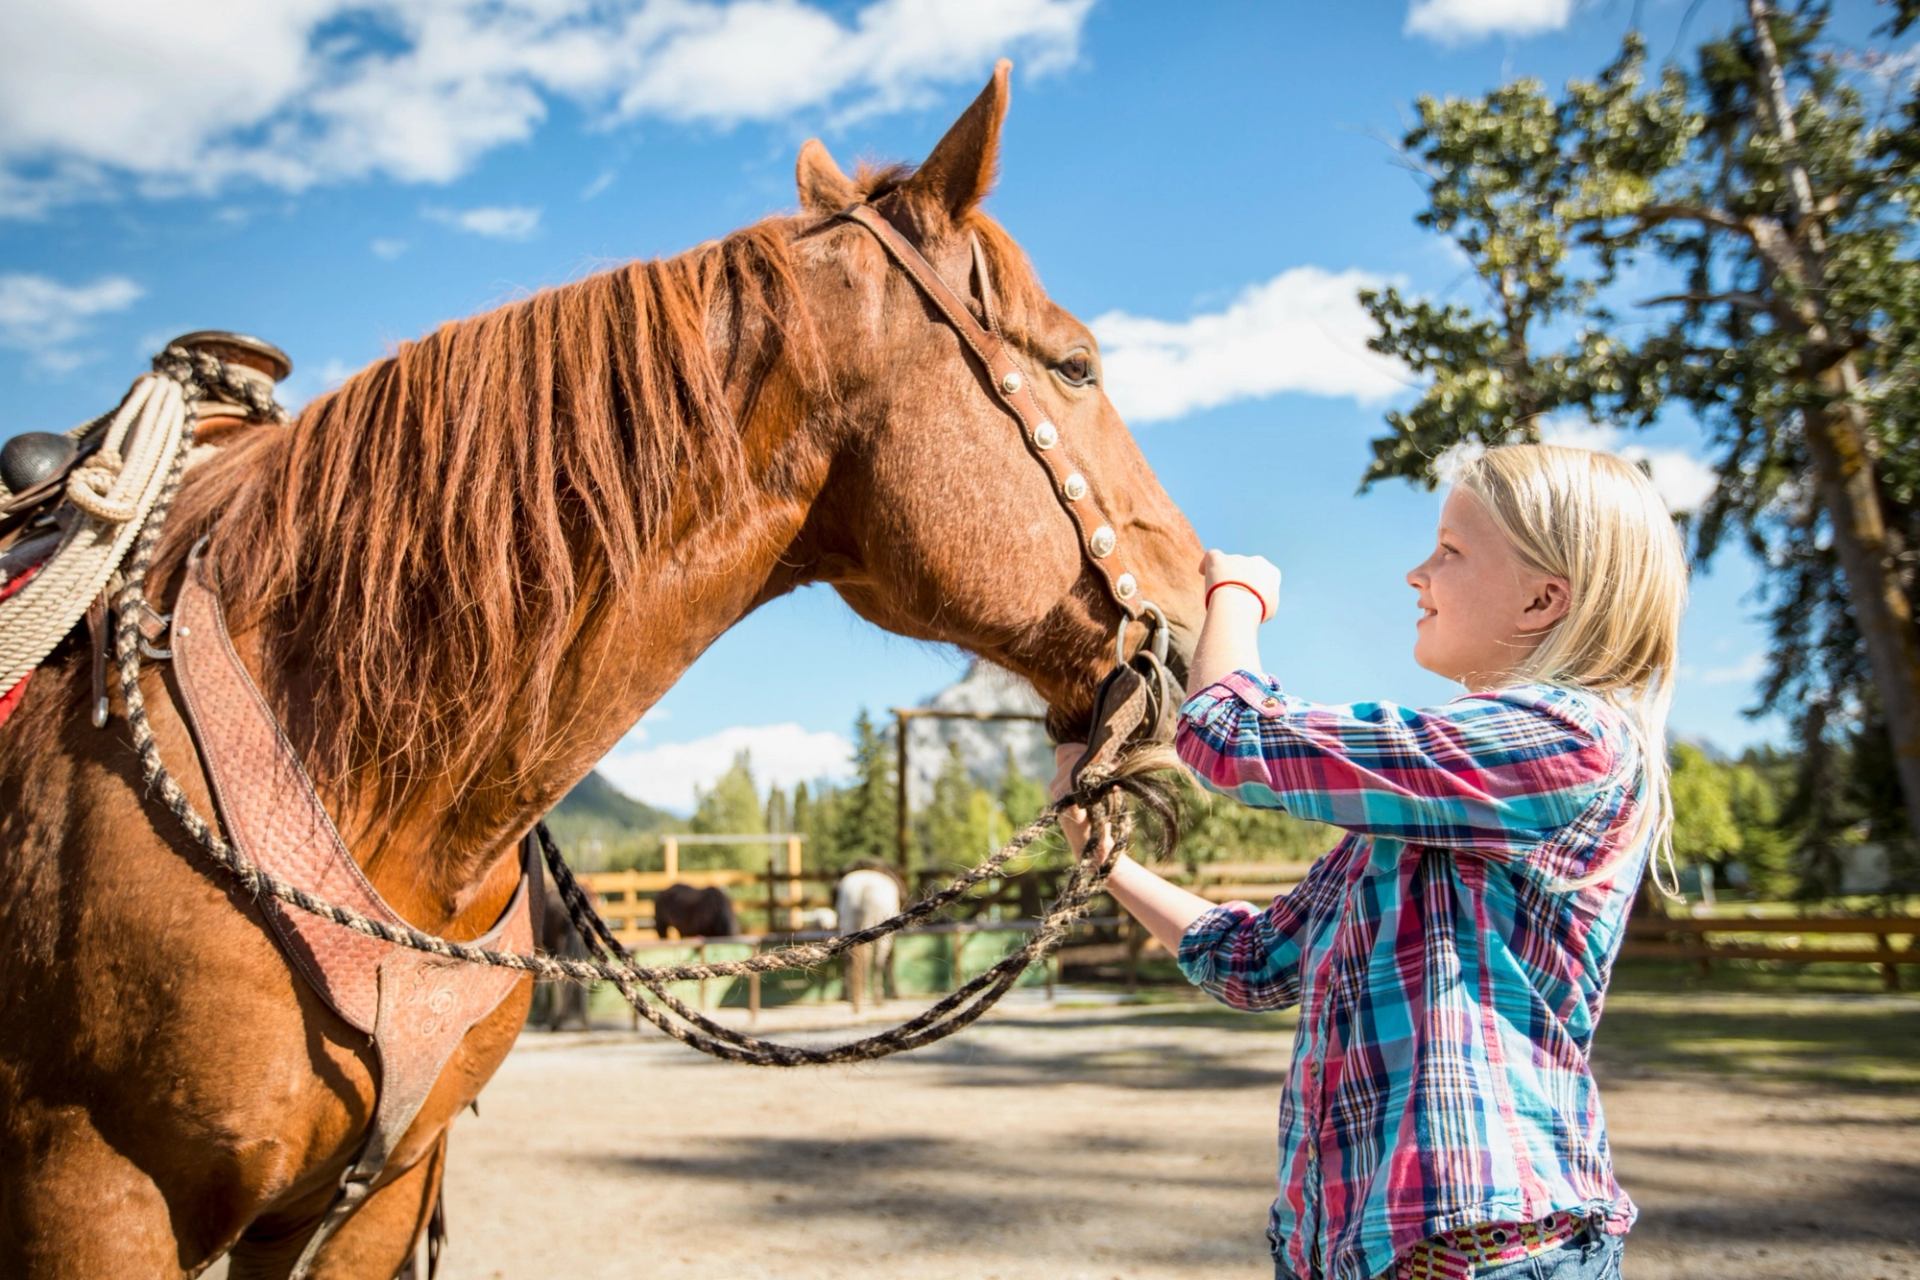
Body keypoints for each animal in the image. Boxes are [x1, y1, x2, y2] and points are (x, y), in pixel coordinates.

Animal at [836, 862, 907, 1006]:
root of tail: (863, 887)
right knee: (876, 961)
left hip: (848, 923)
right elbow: (889, 959)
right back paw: (875, 997)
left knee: (849, 958)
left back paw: (853, 996)